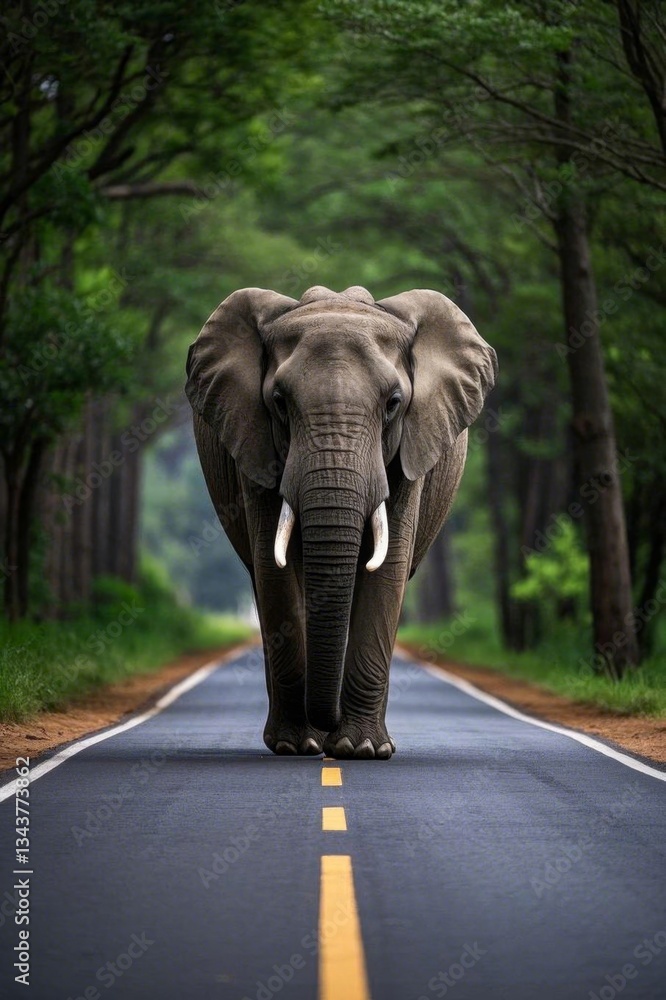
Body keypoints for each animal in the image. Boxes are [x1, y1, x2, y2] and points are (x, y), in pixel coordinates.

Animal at [185, 284, 497, 760]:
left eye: (393, 404)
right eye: (279, 403)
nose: (326, 723)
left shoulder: (412, 449)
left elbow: (388, 569)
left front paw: (360, 748)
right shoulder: (253, 443)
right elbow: (273, 571)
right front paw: (297, 745)